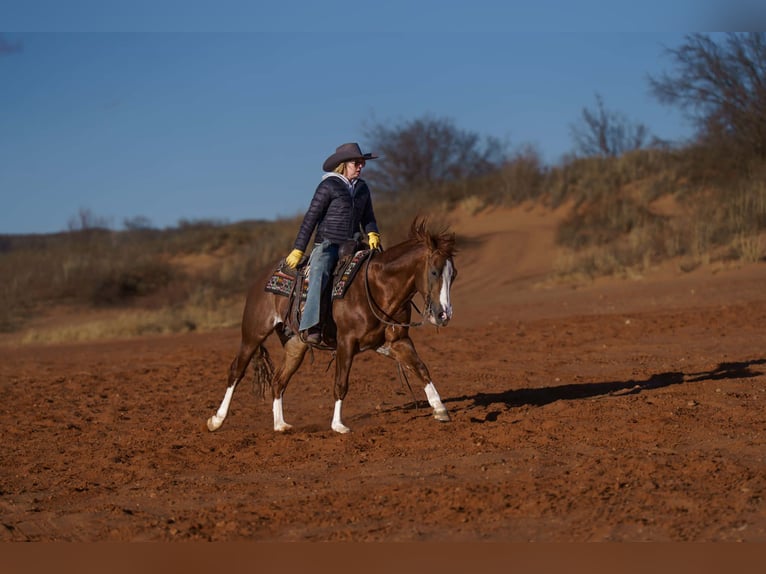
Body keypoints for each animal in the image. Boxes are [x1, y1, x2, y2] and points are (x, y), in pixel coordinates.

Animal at [206, 217, 457, 434]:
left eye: (453, 274)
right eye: (434, 271)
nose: (443, 314)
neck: (377, 287)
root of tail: (260, 280)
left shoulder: (396, 342)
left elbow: (421, 368)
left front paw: (440, 408)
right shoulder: (346, 342)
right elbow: (341, 382)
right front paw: (338, 425)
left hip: (295, 344)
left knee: (279, 380)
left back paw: (280, 425)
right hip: (253, 334)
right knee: (236, 371)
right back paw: (216, 420)